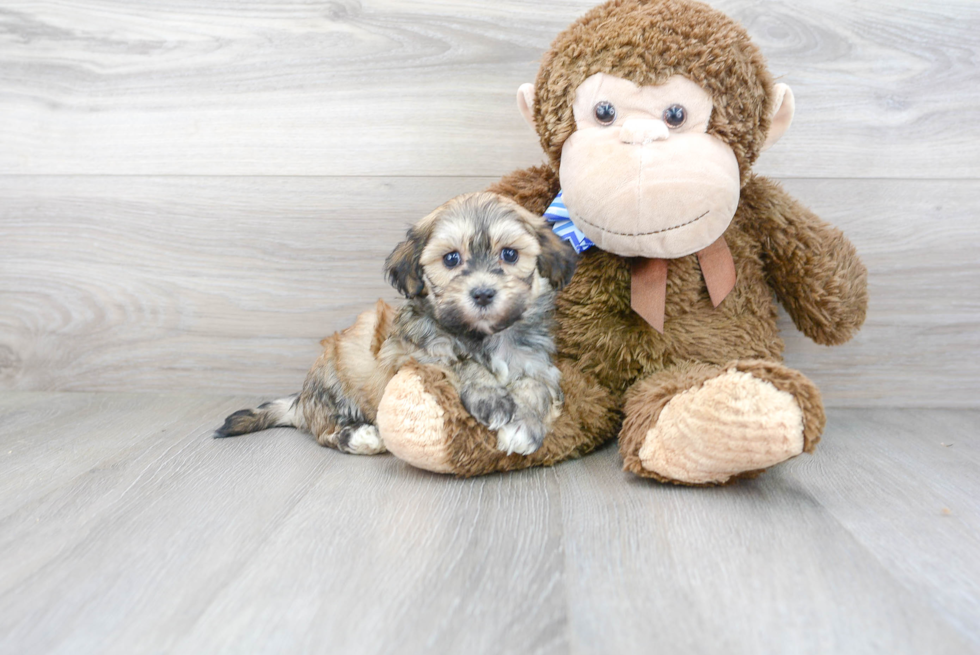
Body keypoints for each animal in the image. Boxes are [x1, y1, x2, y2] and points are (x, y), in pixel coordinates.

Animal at [214, 192, 580, 458]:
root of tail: (301, 400)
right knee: (326, 432)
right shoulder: (410, 353)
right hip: (333, 380)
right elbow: (459, 362)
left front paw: (524, 427)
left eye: (510, 254)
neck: (485, 337)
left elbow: (537, 388)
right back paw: (362, 437)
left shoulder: (537, 364)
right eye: (451, 259)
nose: (483, 293)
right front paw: (492, 398)